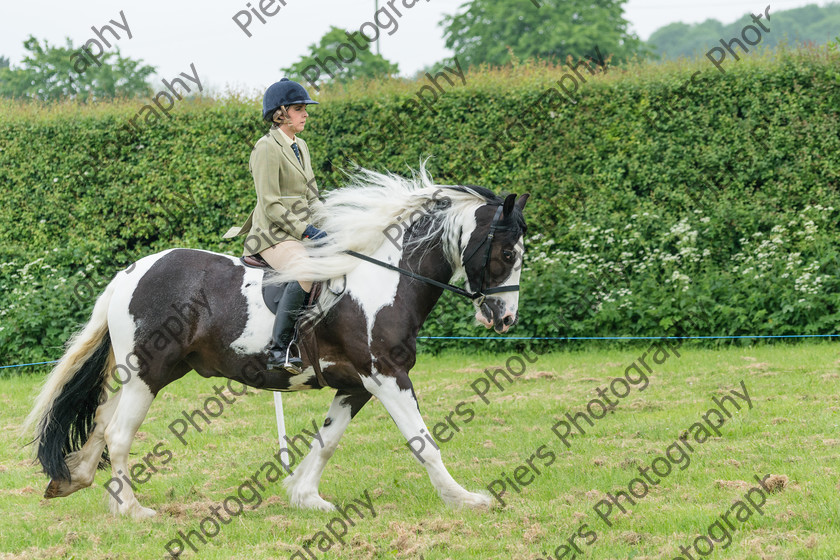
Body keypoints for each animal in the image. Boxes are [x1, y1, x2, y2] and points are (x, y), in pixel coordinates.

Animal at [26, 168, 528, 520]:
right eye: (507, 253)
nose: (504, 318)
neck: (384, 279)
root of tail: (129, 274)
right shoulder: (386, 375)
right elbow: (423, 441)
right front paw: (465, 499)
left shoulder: (357, 384)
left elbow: (326, 441)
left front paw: (305, 497)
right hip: (149, 371)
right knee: (118, 432)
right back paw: (134, 509)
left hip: (152, 372)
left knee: (102, 421)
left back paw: (80, 483)